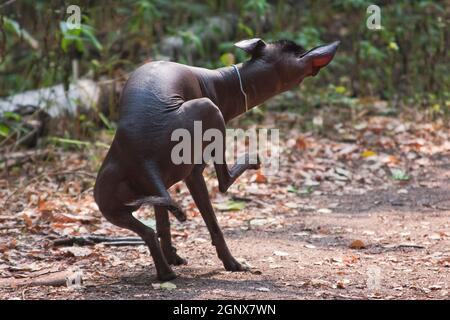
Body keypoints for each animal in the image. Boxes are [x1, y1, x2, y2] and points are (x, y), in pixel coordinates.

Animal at [96, 38, 342, 280]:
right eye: (297, 51)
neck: (226, 82)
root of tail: (141, 158)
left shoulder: (163, 187)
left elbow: (162, 222)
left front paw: (172, 255)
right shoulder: (194, 170)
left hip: (112, 206)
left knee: (148, 231)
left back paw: (166, 272)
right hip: (208, 113)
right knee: (222, 185)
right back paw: (231, 260)